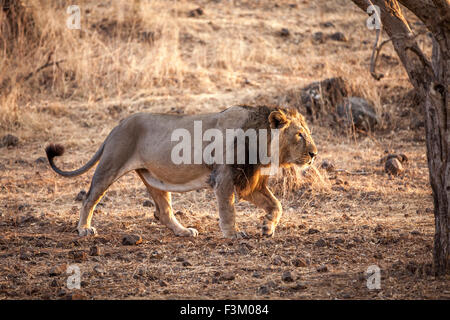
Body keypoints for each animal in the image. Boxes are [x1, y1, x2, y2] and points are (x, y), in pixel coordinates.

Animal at [45, 105, 316, 238]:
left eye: (307, 133)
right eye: (299, 135)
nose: (314, 154)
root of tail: (117, 125)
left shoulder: (249, 181)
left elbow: (276, 205)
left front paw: (267, 228)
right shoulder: (224, 177)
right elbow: (228, 210)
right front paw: (233, 234)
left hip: (153, 178)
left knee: (164, 213)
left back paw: (184, 232)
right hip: (111, 164)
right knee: (89, 198)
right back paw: (84, 229)